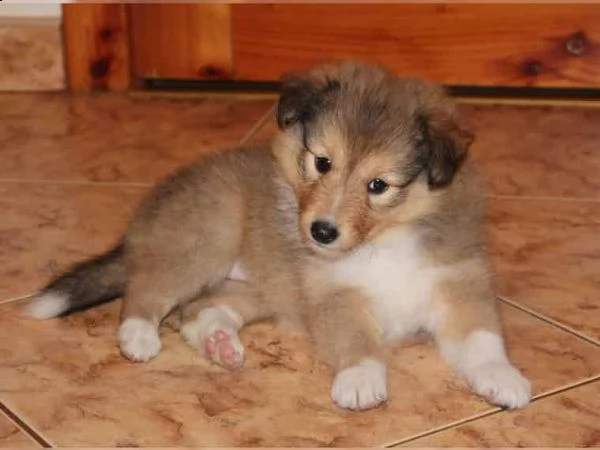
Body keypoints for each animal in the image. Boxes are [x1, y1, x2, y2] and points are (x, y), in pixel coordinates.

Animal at [24, 60, 528, 412]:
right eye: (322, 162)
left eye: (378, 185)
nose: (321, 232)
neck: (384, 241)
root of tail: (142, 225)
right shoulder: (334, 296)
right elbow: (356, 340)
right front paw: (361, 381)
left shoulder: (460, 284)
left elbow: (483, 338)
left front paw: (504, 377)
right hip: (206, 239)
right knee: (147, 289)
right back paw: (139, 337)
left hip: (261, 287)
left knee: (197, 311)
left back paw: (221, 345)